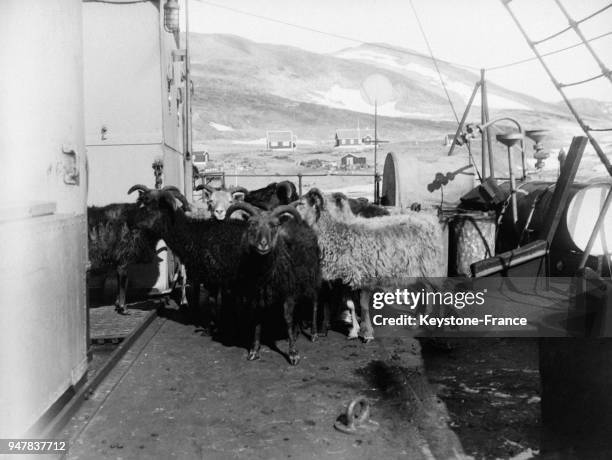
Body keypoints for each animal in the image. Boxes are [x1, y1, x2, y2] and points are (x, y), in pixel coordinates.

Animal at [87, 185, 185, 314]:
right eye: (145, 201)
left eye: (161, 202)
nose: (144, 222)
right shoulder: (123, 258)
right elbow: (123, 282)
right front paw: (123, 308)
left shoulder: (119, 261)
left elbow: (120, 282)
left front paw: (118, 305)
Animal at [225, 203, 320, 364]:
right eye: (252, 224)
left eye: (274, 225)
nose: (263, 244)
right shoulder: (258, 296)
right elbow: (257, 321)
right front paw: (254, 351)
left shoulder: (288, 292)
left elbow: (287, 319)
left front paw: (293, 354)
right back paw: (296, 333)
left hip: (313, 277)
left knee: (314, 303)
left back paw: (313, 334)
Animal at [294, 187, 442, 342]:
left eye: (302, 203)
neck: (339, 231)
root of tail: (429, 219)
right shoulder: (347, 280)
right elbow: (351, 304)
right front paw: (354, 331)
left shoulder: (366, 277)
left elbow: (364, 306)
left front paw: (368, 333)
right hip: (413, 272)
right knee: (422, 293)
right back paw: (416, 323)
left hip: (430, 268)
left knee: (439, 294)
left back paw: (437, 328)